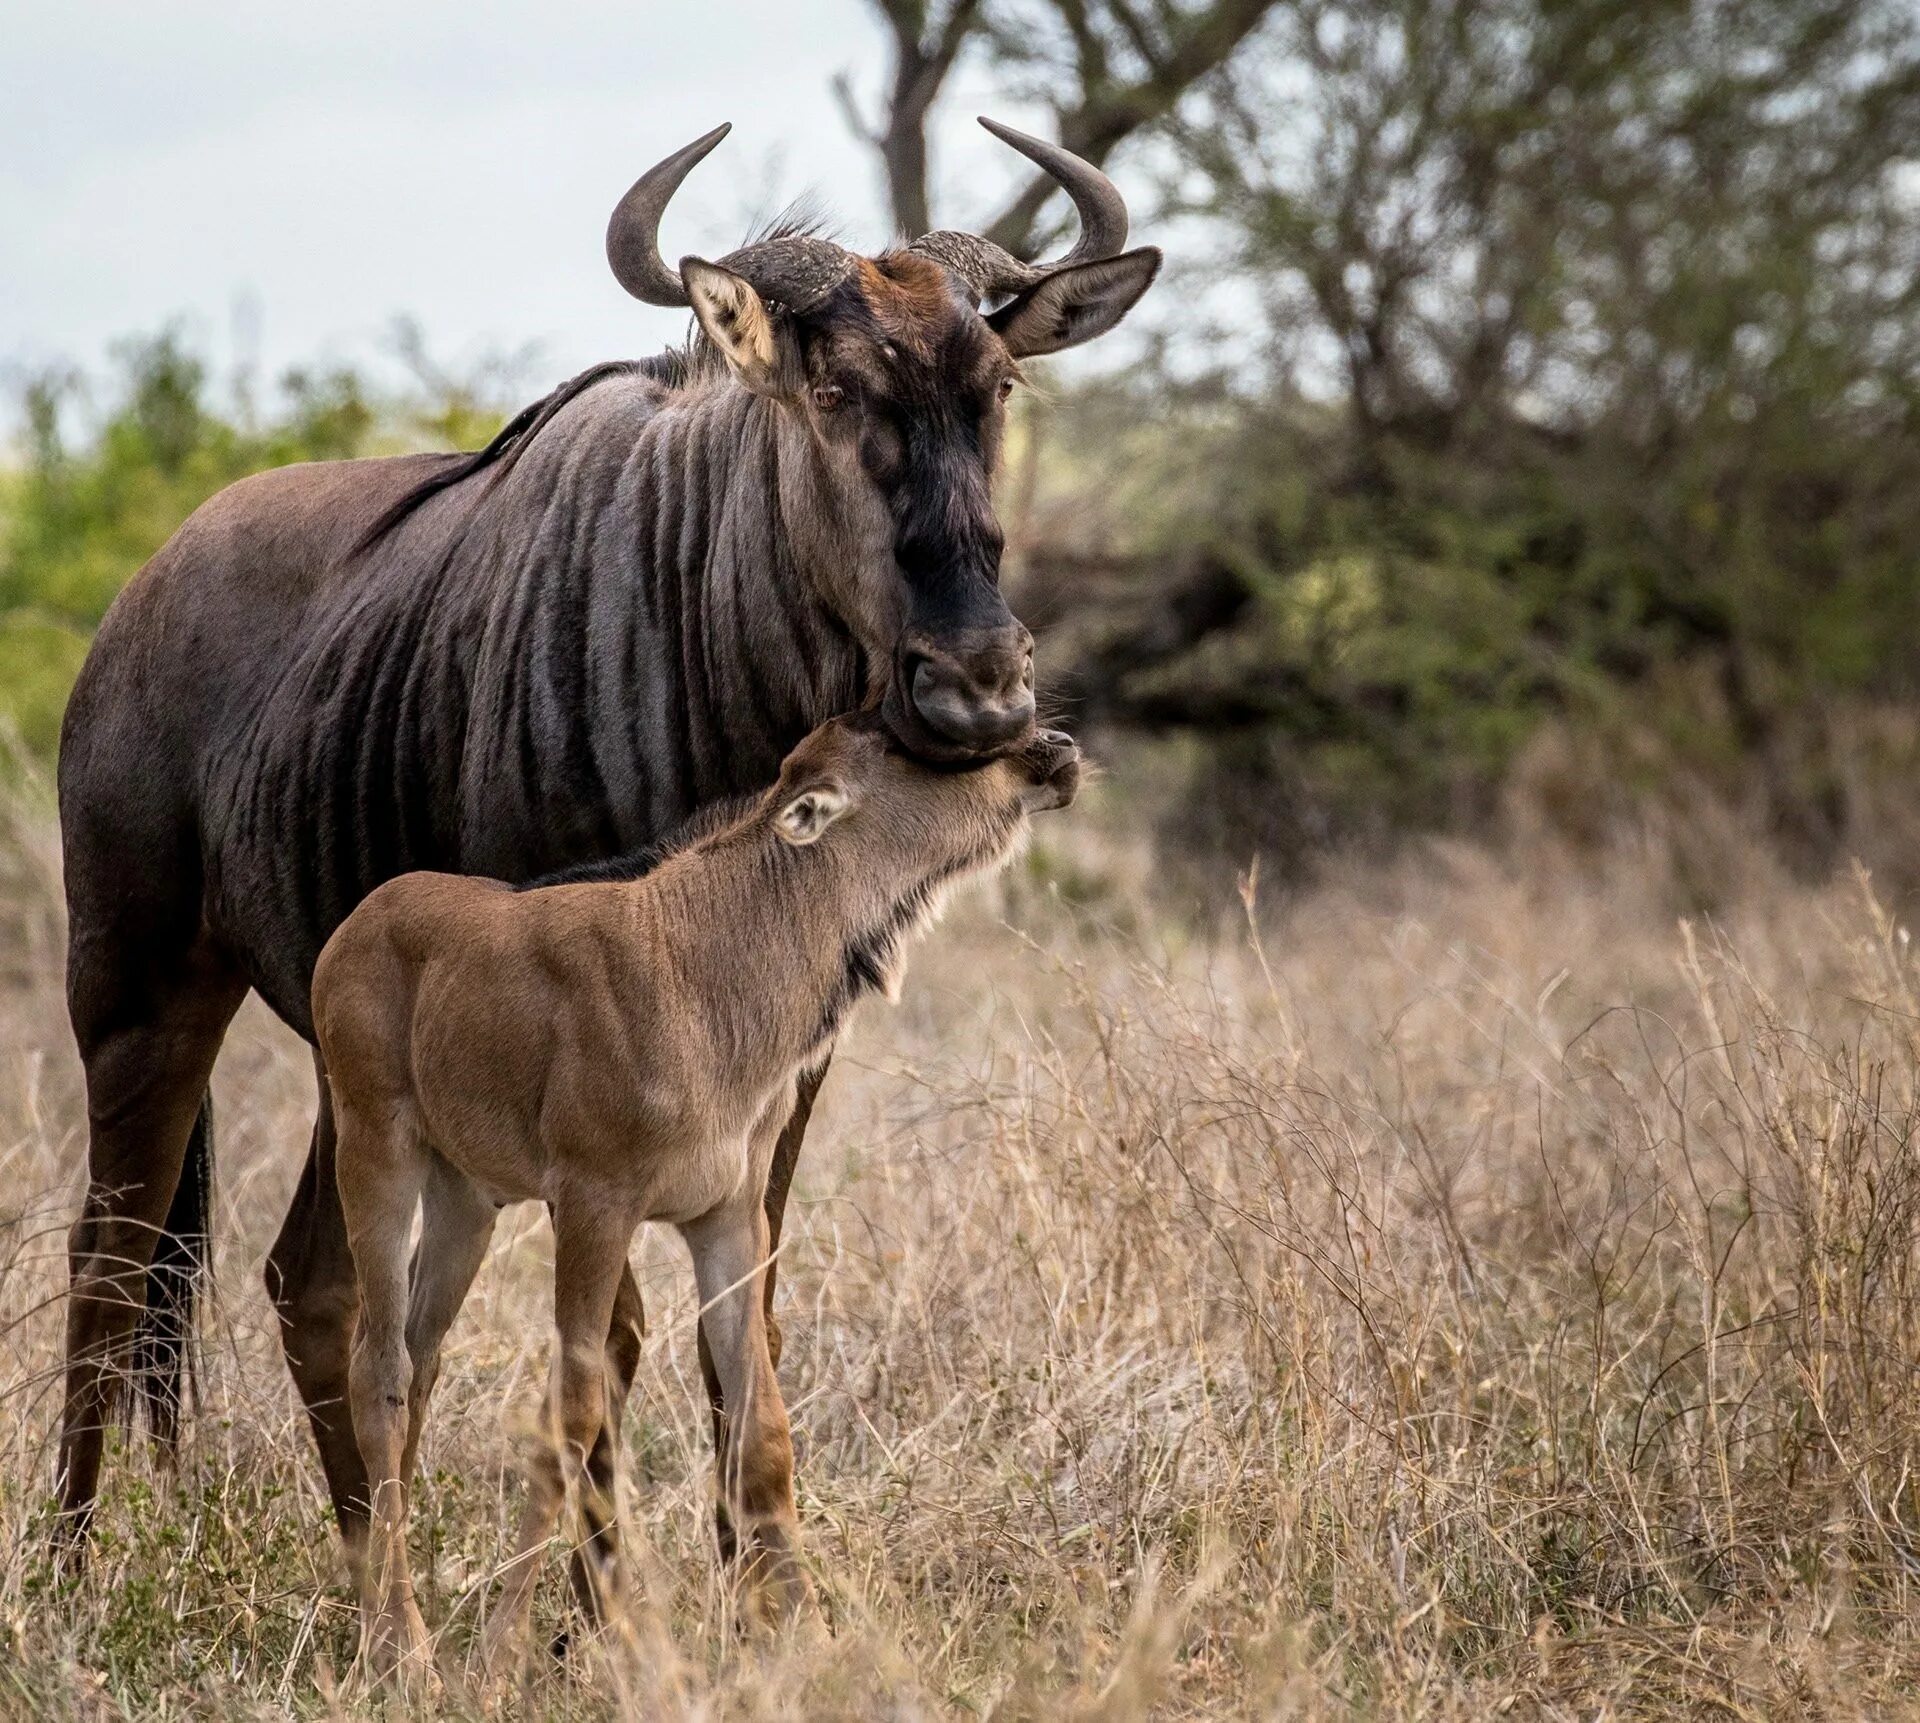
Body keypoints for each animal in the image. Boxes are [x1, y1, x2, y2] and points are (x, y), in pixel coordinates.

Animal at [318, 706, 1082, 1674]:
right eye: (908, 747)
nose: (1054, 753)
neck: (708, 962)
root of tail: (351, 931)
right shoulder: (596, 1204)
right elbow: (573, 1412)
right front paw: (497, 1660)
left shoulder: (727, 1217)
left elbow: (763, 1425)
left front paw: (809, 1637)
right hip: (375, 1150)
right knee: (376, 1368)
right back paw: (403, 1646)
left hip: (465, 1200)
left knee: (419, 1365)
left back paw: (384, 1619)